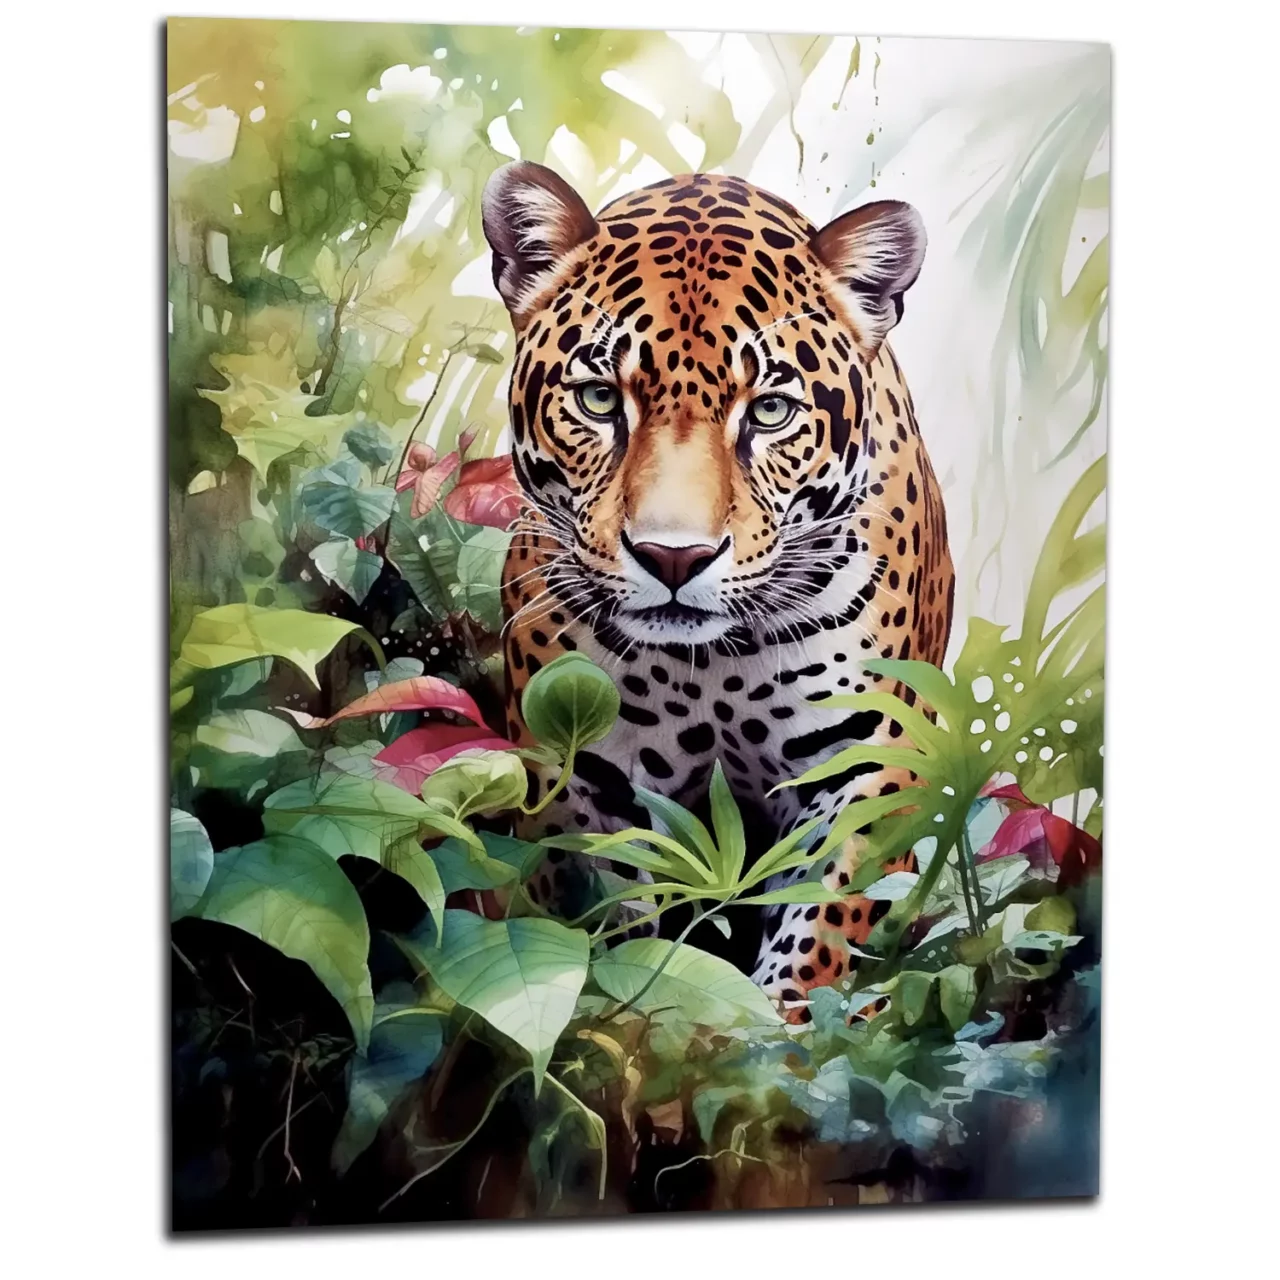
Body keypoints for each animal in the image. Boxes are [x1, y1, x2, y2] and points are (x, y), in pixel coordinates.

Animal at [480, 161, 954, 1023]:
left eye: (769, 411)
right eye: (600, 400)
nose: (675, 558)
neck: (715, 666)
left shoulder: (868, 759)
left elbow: (822, 923)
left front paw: (778, 1029)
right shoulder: (583, 768)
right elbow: (613, 903)